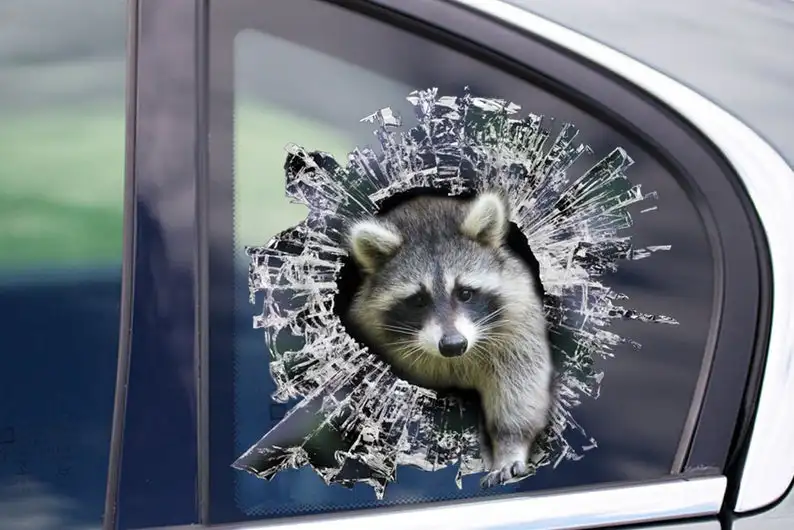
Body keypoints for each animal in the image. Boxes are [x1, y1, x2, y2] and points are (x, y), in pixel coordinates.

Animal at [345, 191, 553, 488]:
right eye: (419, 300)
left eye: (465, 293)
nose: (453, 345)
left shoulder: (517, 324)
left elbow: (519, 387)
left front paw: (510, 445)